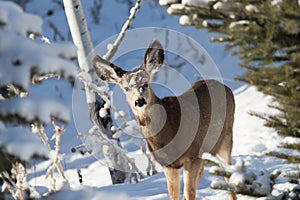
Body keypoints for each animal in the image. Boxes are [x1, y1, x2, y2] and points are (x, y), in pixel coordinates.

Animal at [92, 39, 236, 199]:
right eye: (126, 88)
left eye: (146, 83)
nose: (139, 101)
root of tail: (227, 87)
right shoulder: (169, 164)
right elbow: (174, 194)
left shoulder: (193, 155)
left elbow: (189, 193)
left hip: (226, 139)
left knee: (229, 177)